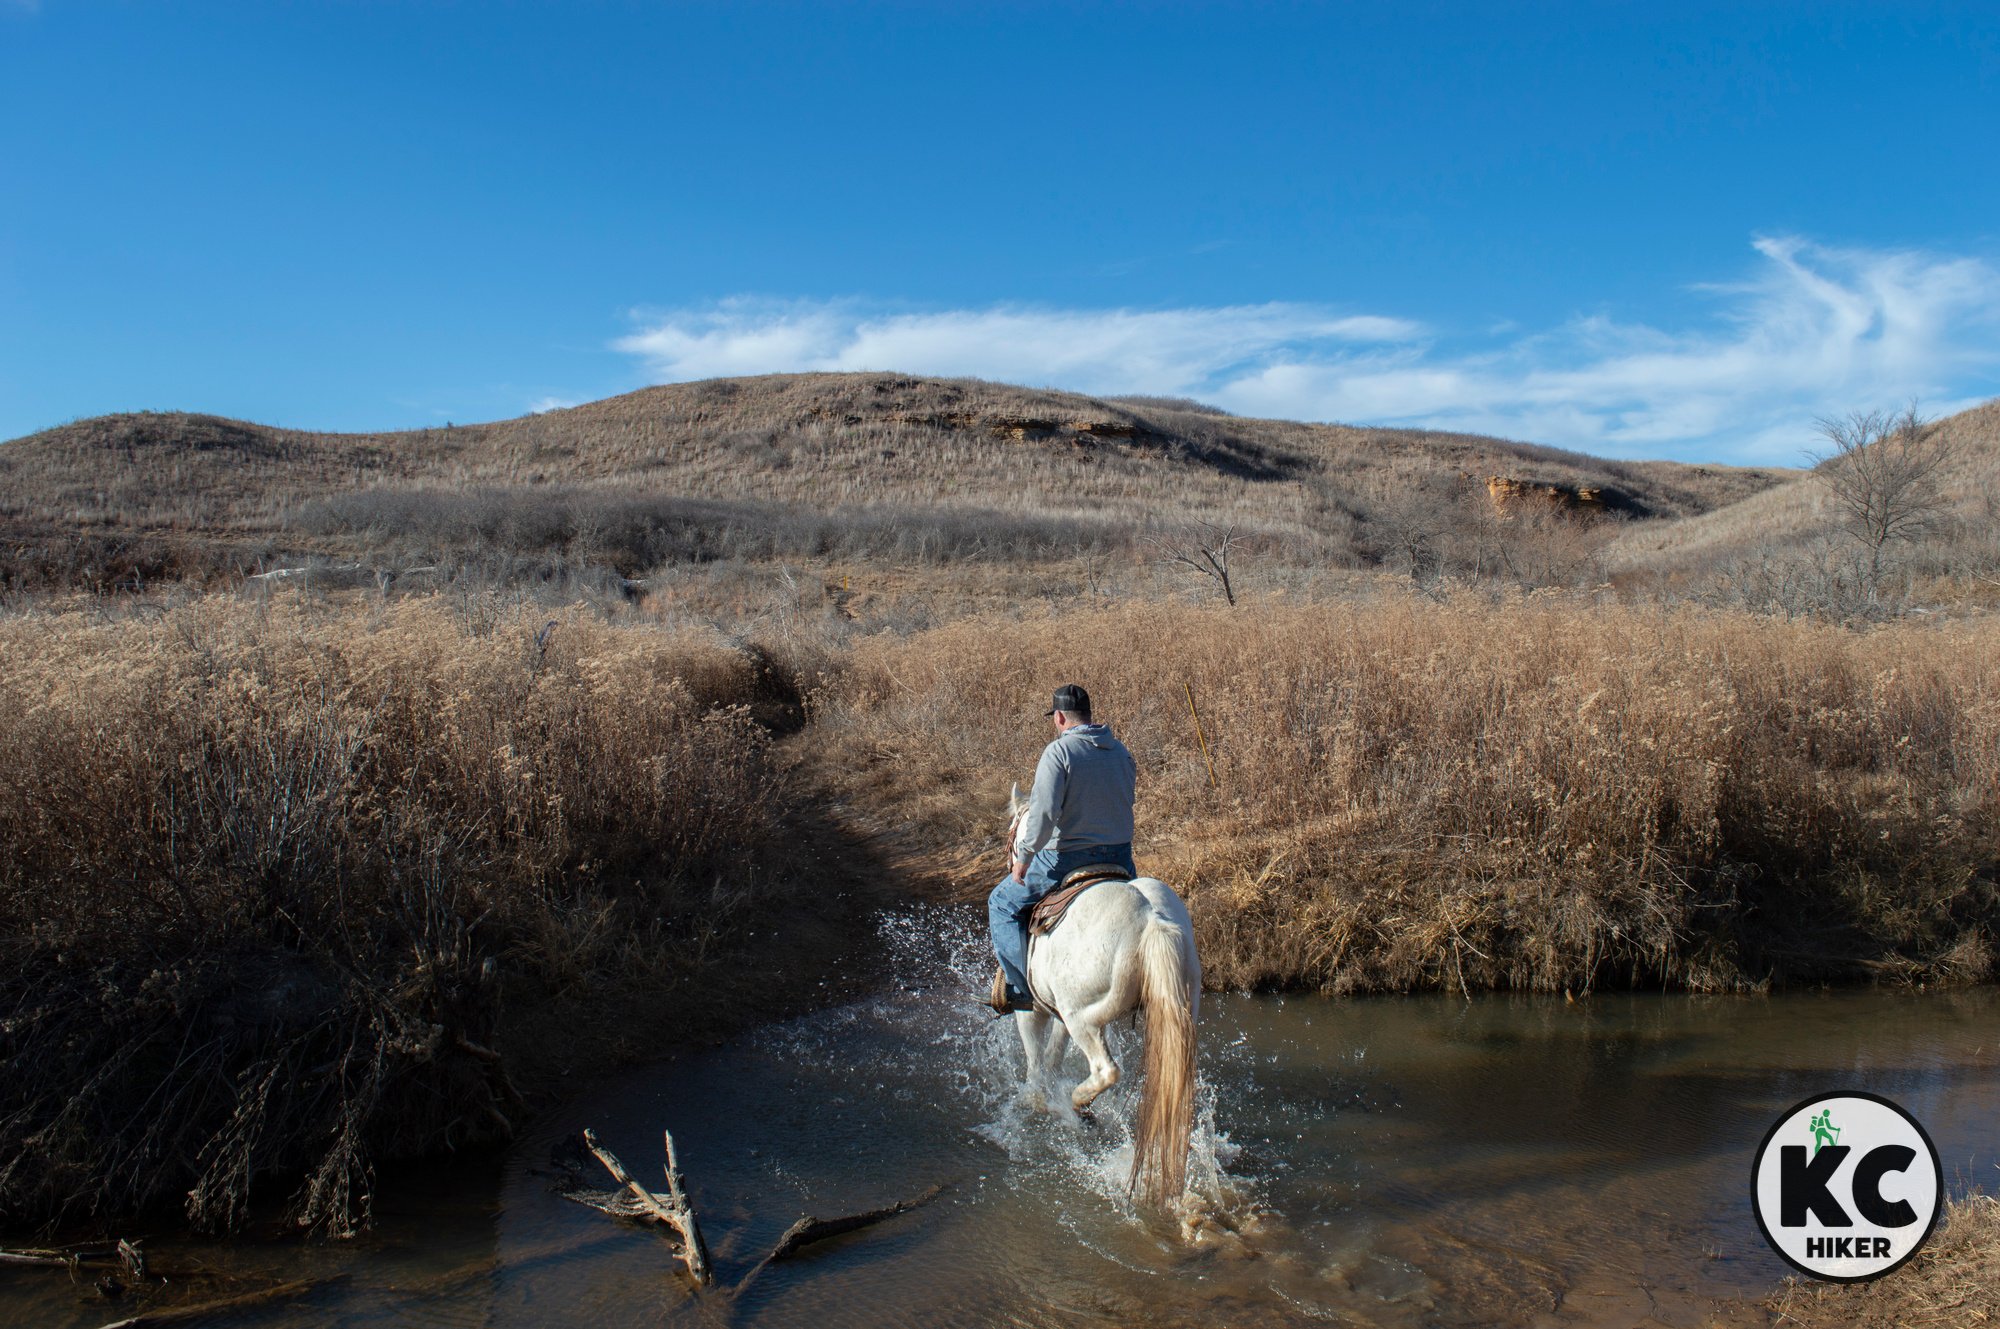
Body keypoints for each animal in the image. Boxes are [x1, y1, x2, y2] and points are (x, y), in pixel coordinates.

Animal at [1008, 784, 1192, 1208]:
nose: (1014, 867)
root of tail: (1151, 921)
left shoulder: (1033, 1009)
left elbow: (1035, 1060)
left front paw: (1035, 1100)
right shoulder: (1058, 1011)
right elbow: (1053, 1055)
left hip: (1086, 1020)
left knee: (1106, 1071)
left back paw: (1080, 1106)